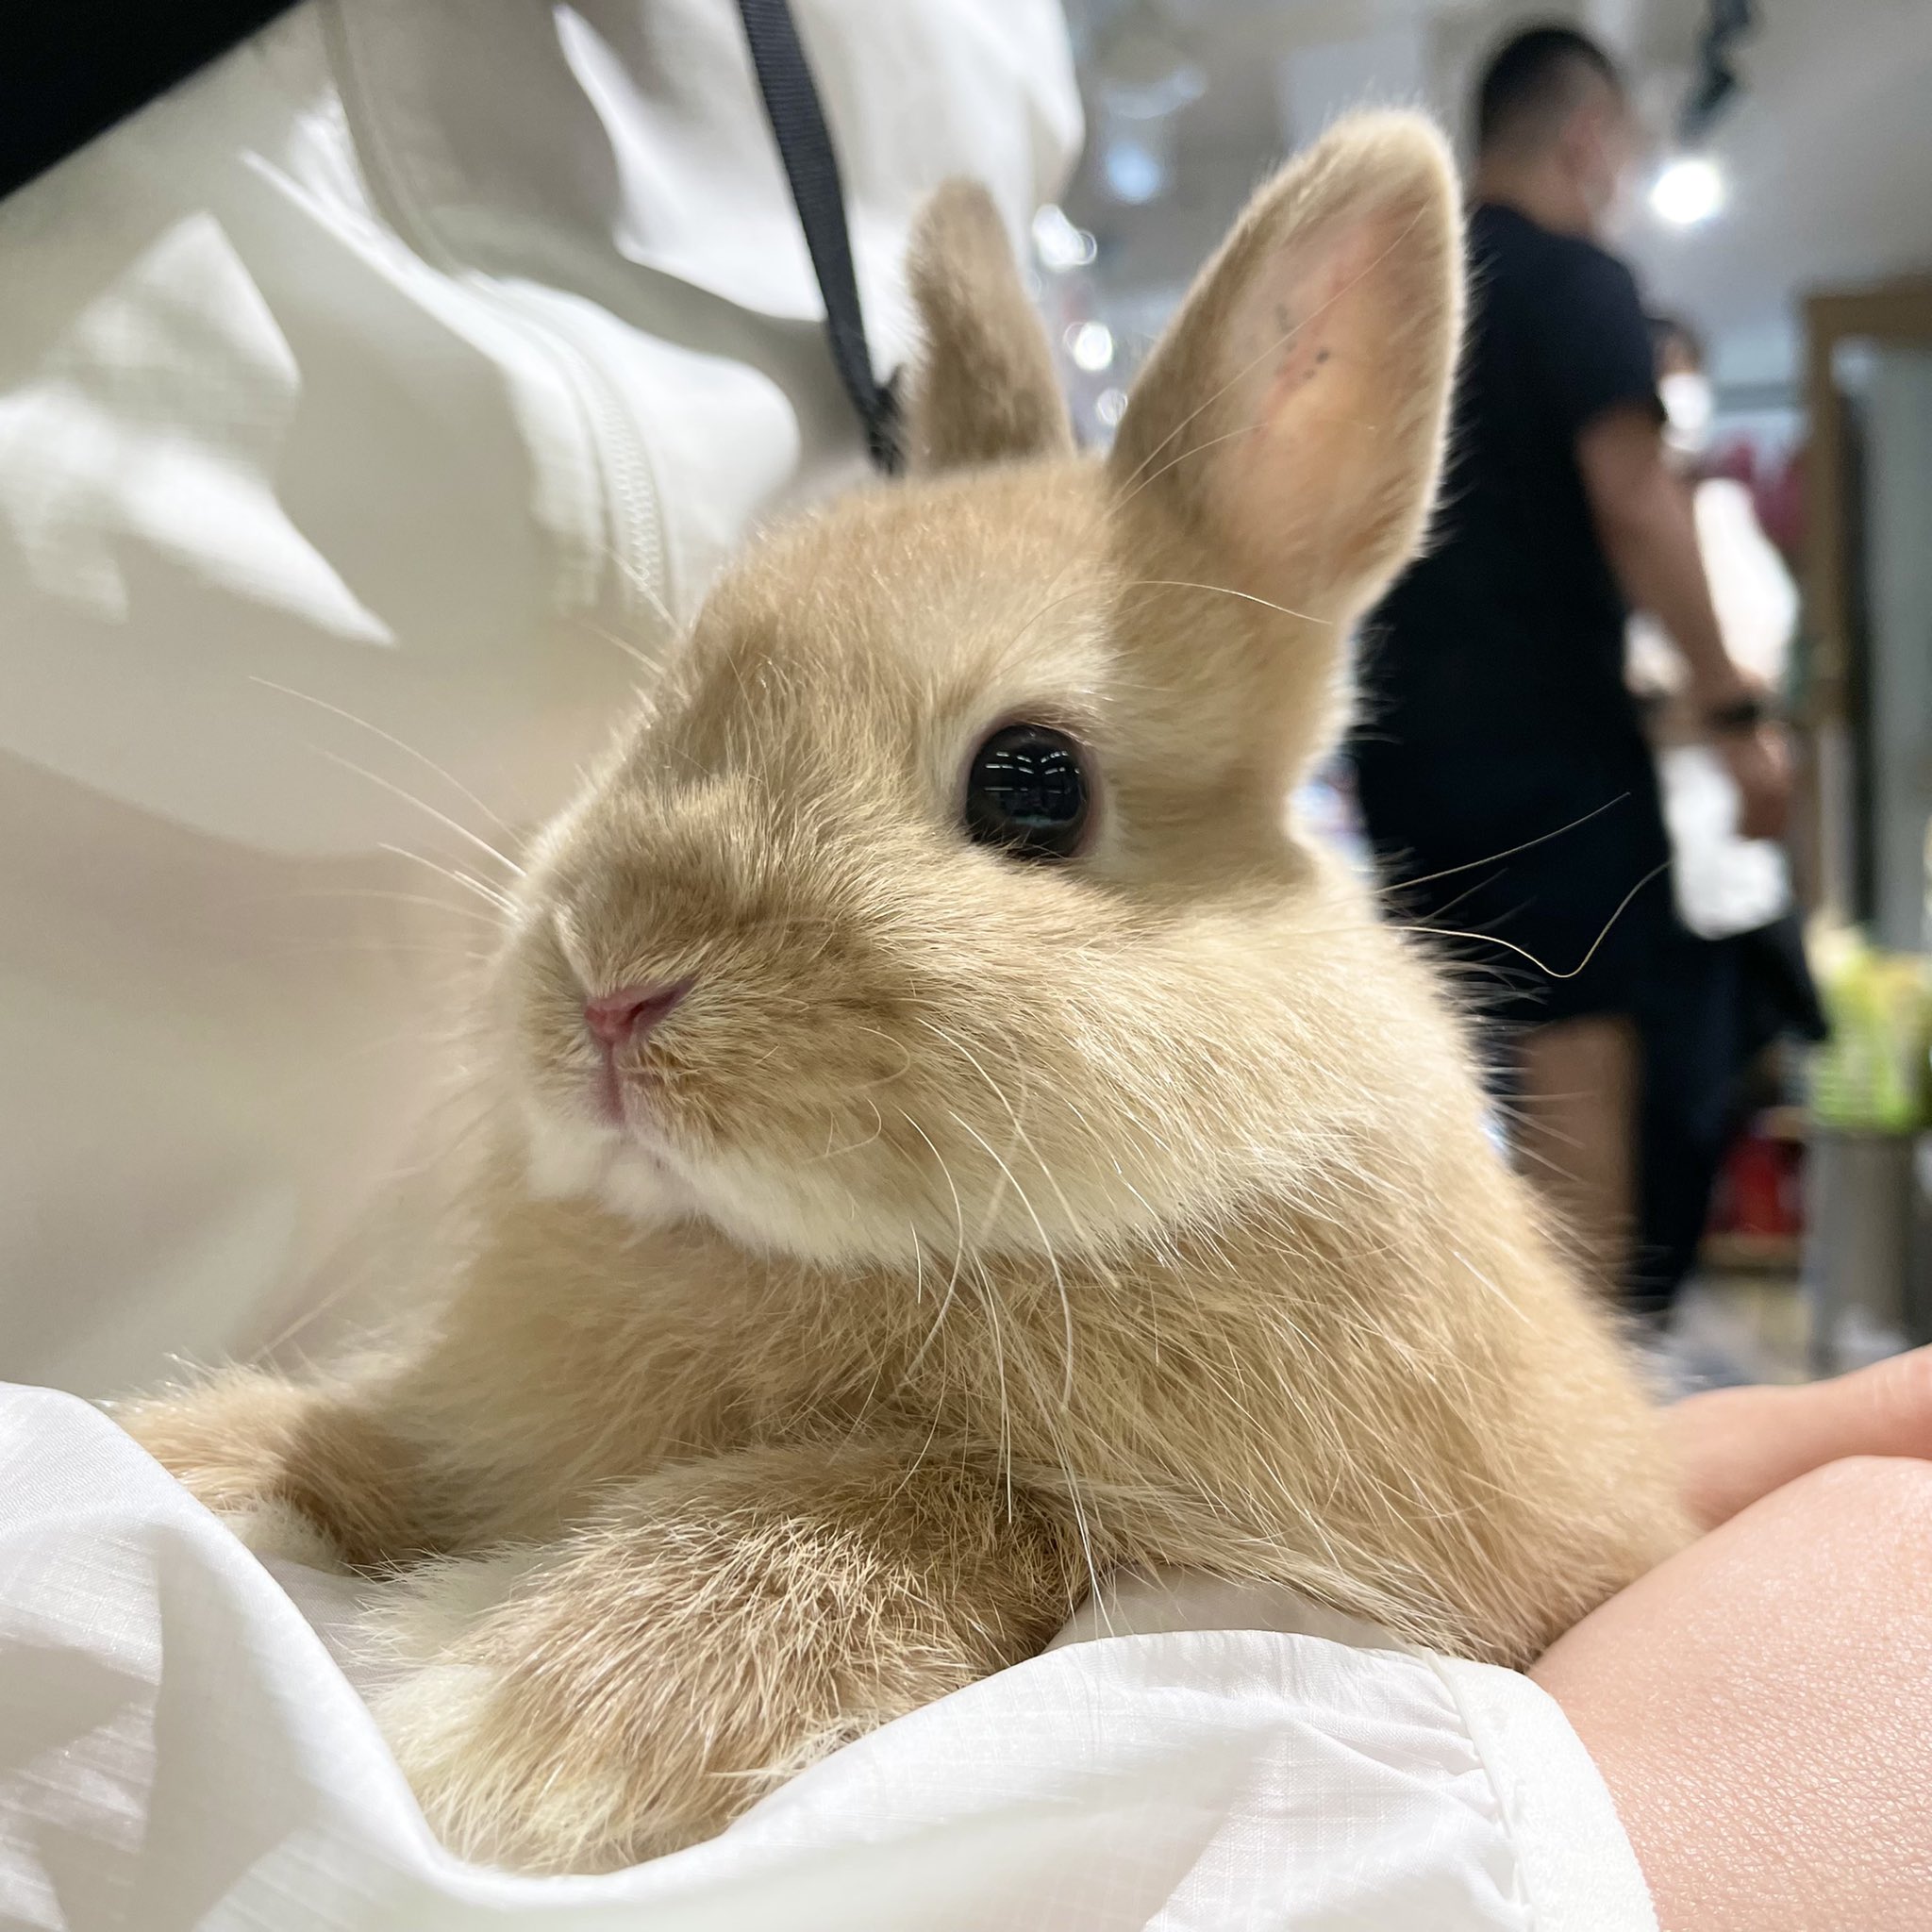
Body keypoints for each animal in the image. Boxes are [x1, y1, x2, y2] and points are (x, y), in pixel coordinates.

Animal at [114, 111, 1689, 1876]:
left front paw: (527, 1739)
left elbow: (914, 1507)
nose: (609, 986)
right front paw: (185, 1452)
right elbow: (366, 1438)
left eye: (1033, 783)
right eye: (667, 703)